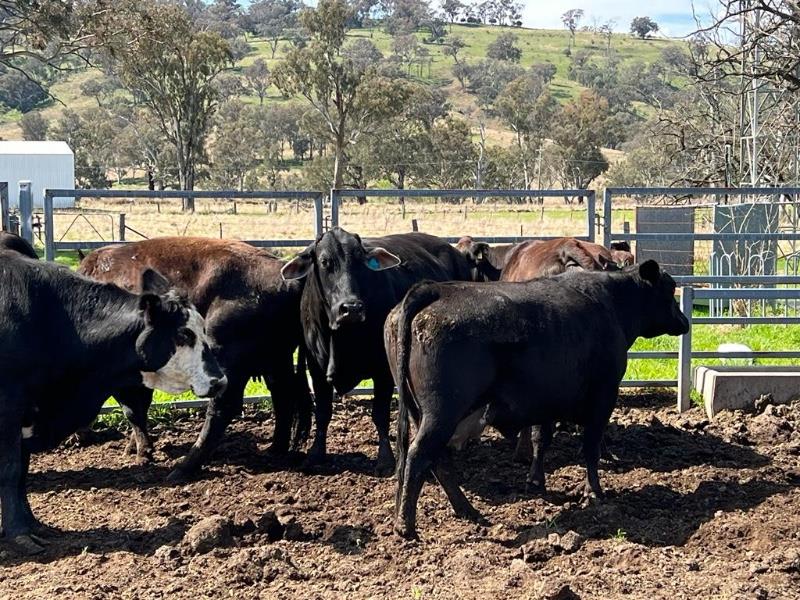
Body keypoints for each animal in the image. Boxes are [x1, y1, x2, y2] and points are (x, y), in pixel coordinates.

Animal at [0, 251, 225, 553]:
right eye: (183, 334)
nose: (220, 380)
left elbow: (22, 473)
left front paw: (34, 524)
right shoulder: (9, 409)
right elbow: (12, 472)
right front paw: (19, 534)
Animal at [77, 238, 312, 481]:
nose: (81, 436)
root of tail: (283, 275)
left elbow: (132, 410)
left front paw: (143, 452)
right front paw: (135, 447)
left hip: (228, 362)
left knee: (222, 408)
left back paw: (183, 469)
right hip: (277, 360)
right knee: (282, 395)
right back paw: (275, 448)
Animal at [281, 227, 473, 474]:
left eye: (361, 261)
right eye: (324, 262)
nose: (351, 308)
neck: (342, 338)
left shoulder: (383, 370)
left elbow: (380, 415)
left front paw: (385, 460)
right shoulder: (316, 369)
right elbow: (323, 412)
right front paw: (315, 455)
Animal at [384, 261, 689, 538]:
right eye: (669, 288)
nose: (685, 322)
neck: (610, 303)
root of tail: (434, 289)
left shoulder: (549, 399)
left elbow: (540, 440)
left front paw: (535, 481)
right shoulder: (603, 395)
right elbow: (590, 447)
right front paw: (593, 491)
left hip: (422, 412)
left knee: (438, 460)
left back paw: (468, 510)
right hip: (443, 412)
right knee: (419, 455)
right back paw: (406, 527)